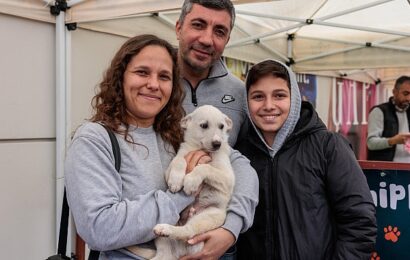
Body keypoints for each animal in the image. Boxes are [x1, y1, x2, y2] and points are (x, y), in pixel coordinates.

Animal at [151, 104, 235, 258]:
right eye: (204, 125)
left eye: (221, 126)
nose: (217, 144)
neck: (202, 149)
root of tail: (183, 250)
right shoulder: (172, 165)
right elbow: (180, 160)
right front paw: (176, 181)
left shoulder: (228, 178)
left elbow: (205, 167)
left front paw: (190, 182)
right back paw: (164, 230)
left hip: (207, 216)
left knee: (188, 232)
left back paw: (166, 229)